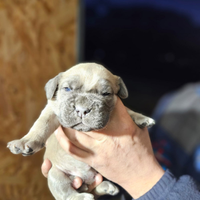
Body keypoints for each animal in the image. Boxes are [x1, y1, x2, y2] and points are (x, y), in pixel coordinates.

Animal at [7, 63, 155, 200]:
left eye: (105, 94)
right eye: (67, 89)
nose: (82, 109)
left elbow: (128, 110)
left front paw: (141, 118)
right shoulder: (52, 109)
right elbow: (42, 124)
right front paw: (25, 142)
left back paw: (107, 187)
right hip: (55, 174)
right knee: (66, 193)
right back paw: (83, 196)